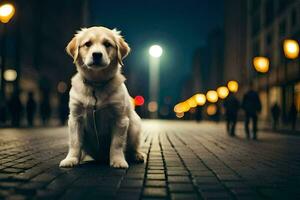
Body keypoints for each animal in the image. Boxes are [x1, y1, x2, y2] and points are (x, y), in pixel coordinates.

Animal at [59, 25, 144, 168]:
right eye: (87, 44)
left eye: (107, 44)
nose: (97, 54)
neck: (96, 83)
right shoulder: (75, 118)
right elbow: (75, 142)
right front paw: (71, 159)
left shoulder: (120, 119)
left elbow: (117, 144)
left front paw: (118, 161)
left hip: (134, 125)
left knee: (133, 146)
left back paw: (137, 155)